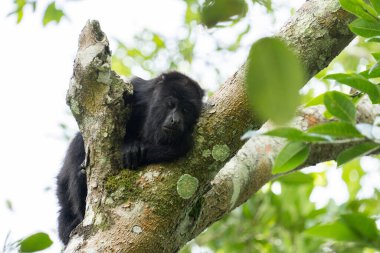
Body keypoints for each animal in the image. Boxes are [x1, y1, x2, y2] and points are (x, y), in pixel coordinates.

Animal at [56, 71, 203, 245]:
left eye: (186, 110)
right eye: (171, 104)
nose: (176, 120)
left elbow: (181, 146)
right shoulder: (136, 92)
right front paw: (130, 146)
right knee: (78, 145)